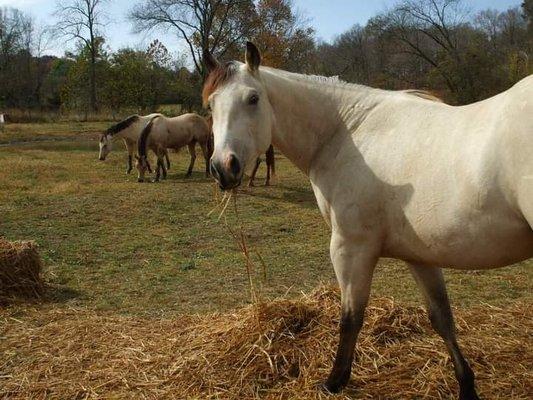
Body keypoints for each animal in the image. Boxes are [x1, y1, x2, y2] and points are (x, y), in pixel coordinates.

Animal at [204, 42, 532, 398]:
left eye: (253, 98)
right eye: (210, 106)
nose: (223, 167)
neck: (346, 132)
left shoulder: (350, 248)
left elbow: (351, 318)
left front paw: (335, 381)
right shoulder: (420, 255)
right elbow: (441, 318)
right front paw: (466, 385)